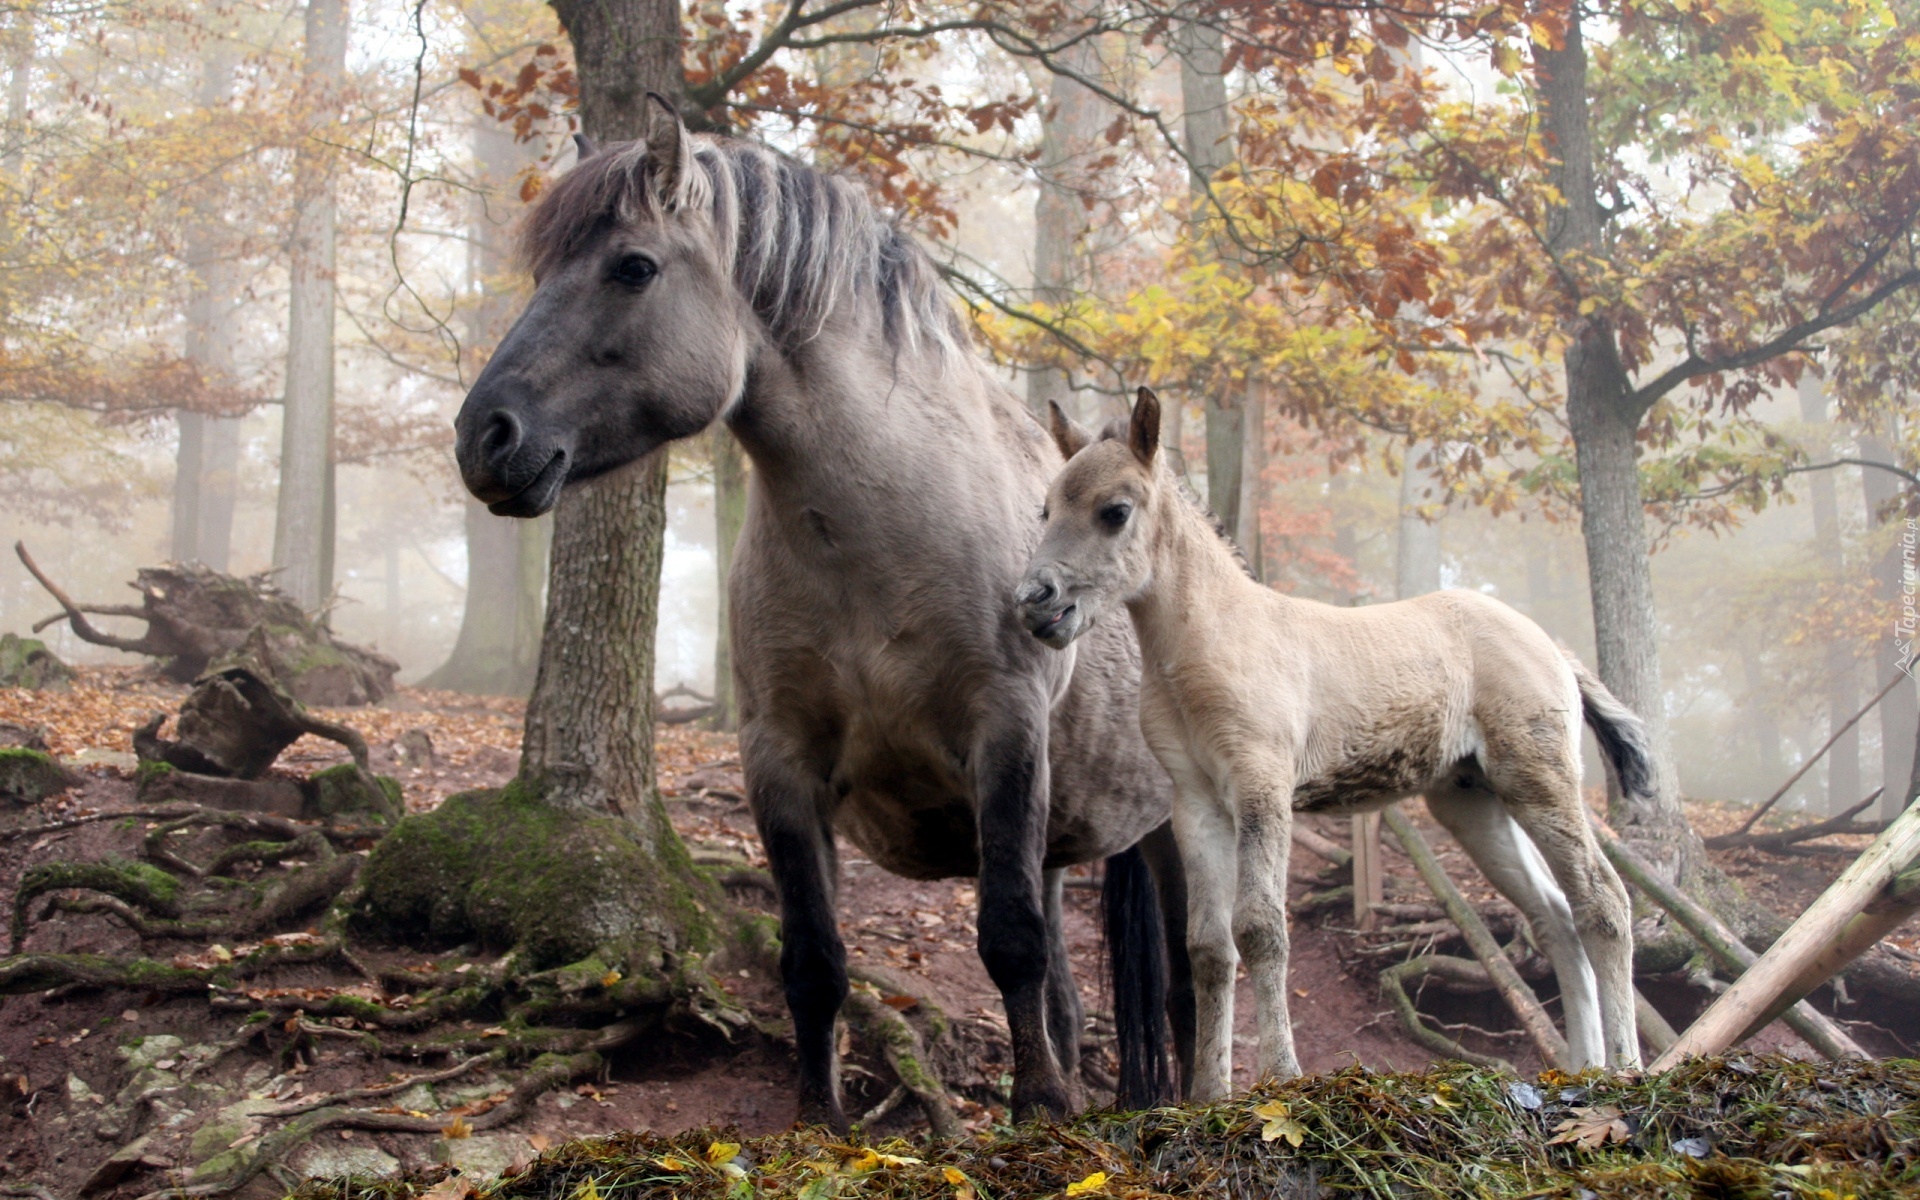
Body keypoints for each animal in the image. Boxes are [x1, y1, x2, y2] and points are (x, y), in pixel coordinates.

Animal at [1021, 391, 1651, 1098]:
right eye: (1047, 509)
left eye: (1115, 511)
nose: (1035, 600)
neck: (1212, 641)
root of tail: (1553, 648)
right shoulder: (1197, 804)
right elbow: (1208, 945)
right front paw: (1209, 1096)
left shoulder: (1263, 788)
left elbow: (1261, 929)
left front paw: (1280, 1077)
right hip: (1473, 802)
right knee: (1555, 917)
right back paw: (1582, 1068)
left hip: (1540, 781)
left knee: (1603, 901)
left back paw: (1625, 1066)